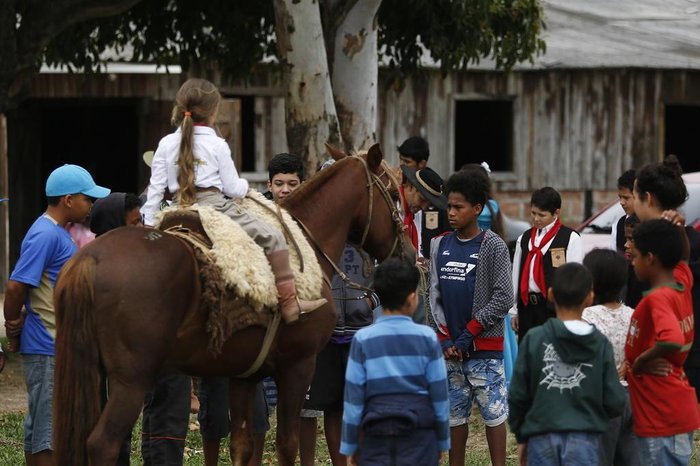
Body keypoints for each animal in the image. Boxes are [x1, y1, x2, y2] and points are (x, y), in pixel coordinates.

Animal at [54, 144, 416, 464]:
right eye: (393, 193)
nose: (410, 254)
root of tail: (90, 257)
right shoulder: (298, 366)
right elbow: (287, 445)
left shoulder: (245, 375)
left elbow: (241, 445)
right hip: (132, 380)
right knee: (103, 443)